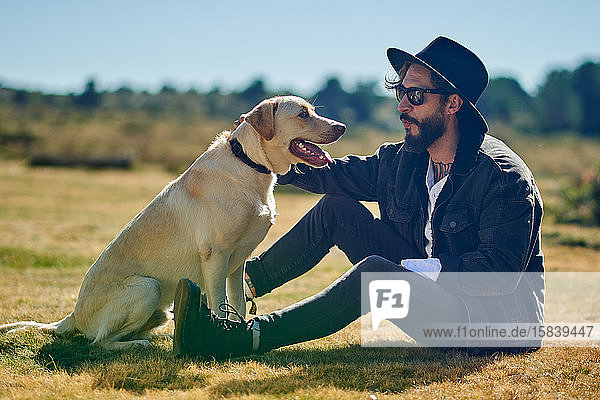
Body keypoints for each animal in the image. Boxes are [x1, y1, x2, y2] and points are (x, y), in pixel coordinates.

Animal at [0, 96, 344, 350]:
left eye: (313, 111)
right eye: (302, 114)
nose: (341, 126)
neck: (249, 163)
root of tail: (71, 316)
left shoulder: (237, 263)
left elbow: (237, 304)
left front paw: (236, 332)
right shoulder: (216, 256)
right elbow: (220, 303)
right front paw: (220, 336)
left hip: (161, 310)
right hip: (146, 286)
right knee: (99, 342)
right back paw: (138, 345)